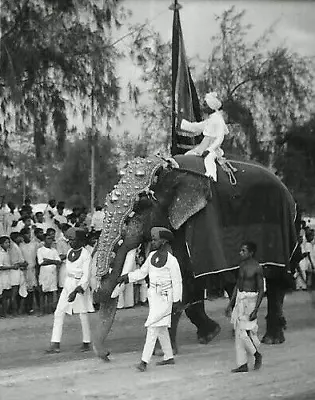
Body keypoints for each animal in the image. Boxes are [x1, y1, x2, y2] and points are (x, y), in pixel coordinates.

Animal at [92, 153, 298, 360]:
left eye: (141, 205)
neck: (170, 169)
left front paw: (162, 351)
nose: (107, 354)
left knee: (275, 282)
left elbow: (184, 279)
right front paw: (210, 334)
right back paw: (239, 330)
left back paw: (272, 338)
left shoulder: (197, 225)